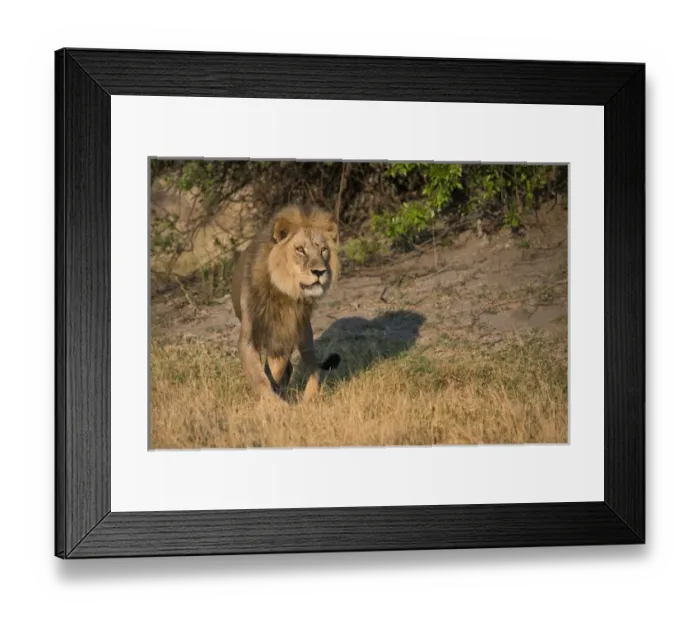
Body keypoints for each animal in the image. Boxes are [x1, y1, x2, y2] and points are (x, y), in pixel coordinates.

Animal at [230, 204, 341, 404]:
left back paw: (309, 399)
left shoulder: (285, 335)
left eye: (323, 250)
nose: (320, 271)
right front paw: (274, 403)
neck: (282, 292)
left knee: (314, 369)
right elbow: (260, 378)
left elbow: (273, 371)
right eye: (300, 249)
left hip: (305, 334)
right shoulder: (249, 337)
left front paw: (276, 402)